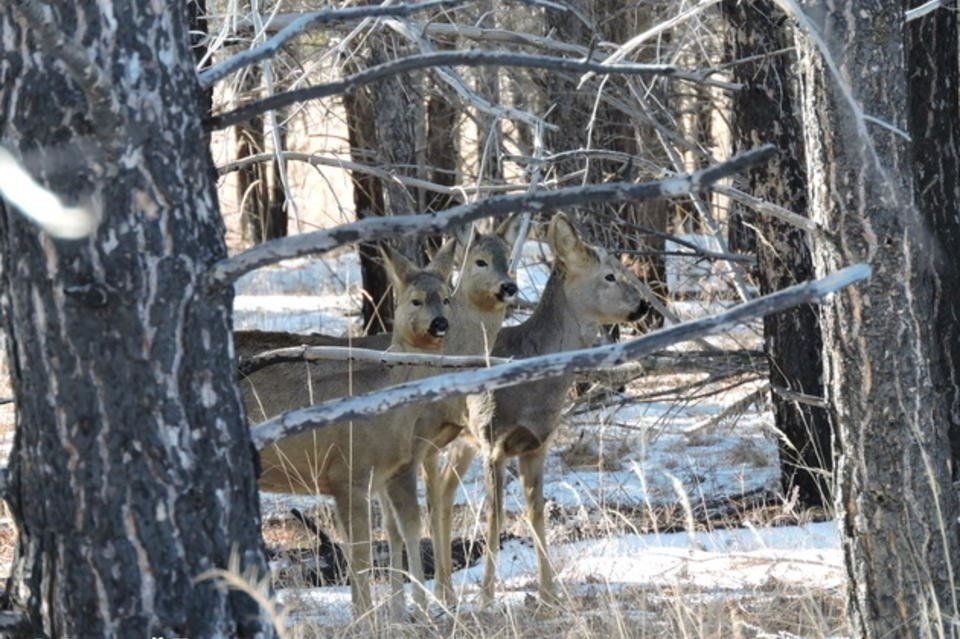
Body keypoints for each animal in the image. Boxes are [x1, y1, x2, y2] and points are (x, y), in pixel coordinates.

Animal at [253, 249, 452, 620]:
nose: (439, 323)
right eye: (415, 300)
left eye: (447, 298)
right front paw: (366, 620)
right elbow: (360, 553)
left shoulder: (377, 476)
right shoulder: (348, 472)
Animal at [434, 214, 644, 604]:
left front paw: (549, 594)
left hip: (462, 438)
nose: (643, 305)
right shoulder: (493, 439)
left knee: (442, 490)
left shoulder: (536, 444)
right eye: (609, 275)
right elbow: (495, 518)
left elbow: (536, 513)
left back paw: (445, 592)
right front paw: (487, 598)